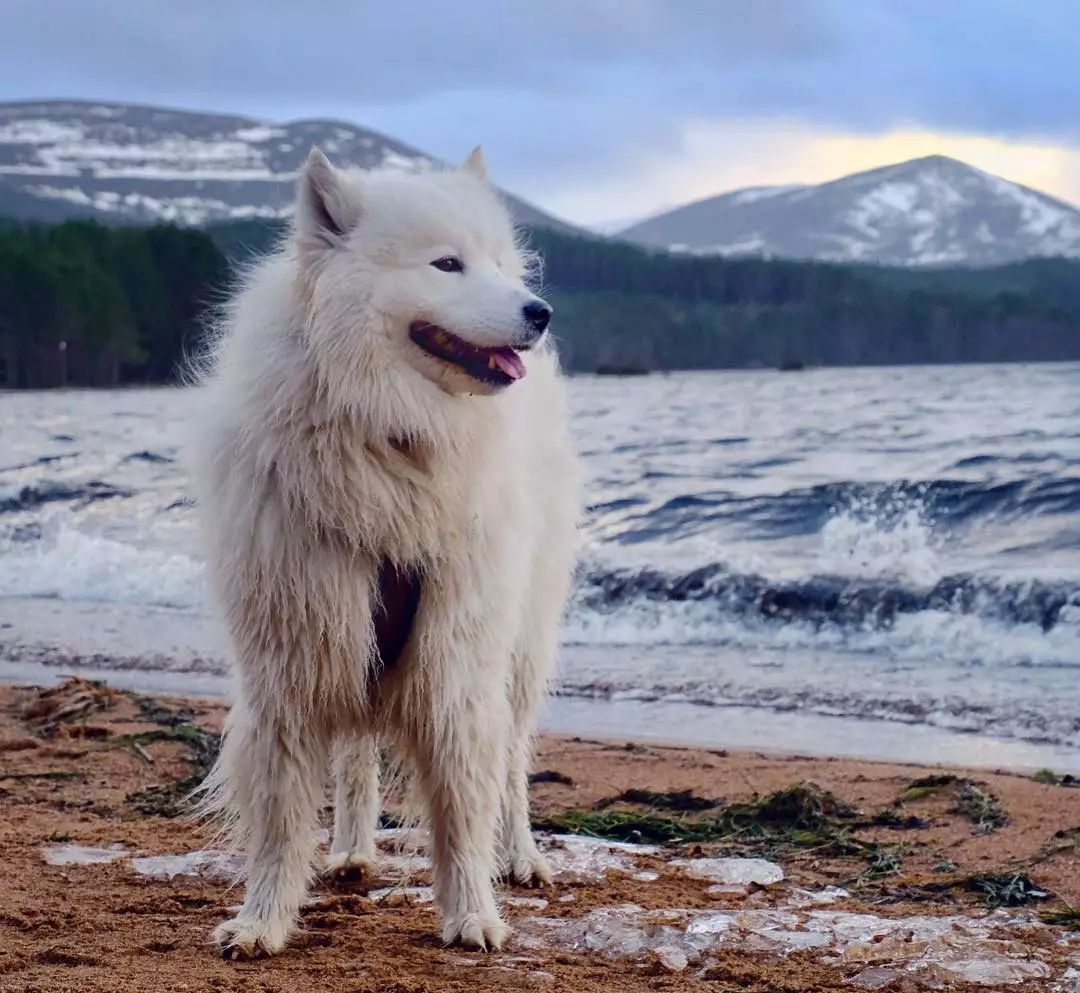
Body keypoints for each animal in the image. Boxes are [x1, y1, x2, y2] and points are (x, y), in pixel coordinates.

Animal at [194, 143, 583, 959]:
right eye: (446, 263)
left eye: (499, 263)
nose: (539, 311)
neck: (395, 436)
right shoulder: (290, 659)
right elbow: (280, 822)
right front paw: (263, 920)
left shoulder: (457, 660)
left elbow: (465, 807)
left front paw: (473, 914)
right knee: (355, 755)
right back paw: (350, 849)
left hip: (519, 649)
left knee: (513, 765)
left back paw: (521, 856)